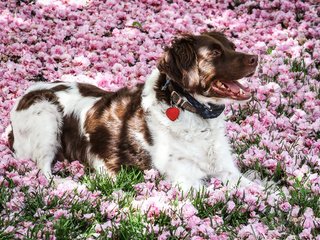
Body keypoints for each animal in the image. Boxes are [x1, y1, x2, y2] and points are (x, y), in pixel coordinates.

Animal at [7, 31, 258, 191]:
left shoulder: (227, 170)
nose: (255, 57)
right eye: (215, 53)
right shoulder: (187, 178)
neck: (189, 111)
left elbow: (259, 190)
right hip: (46, 114)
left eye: (232, 47)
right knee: (43, 170)